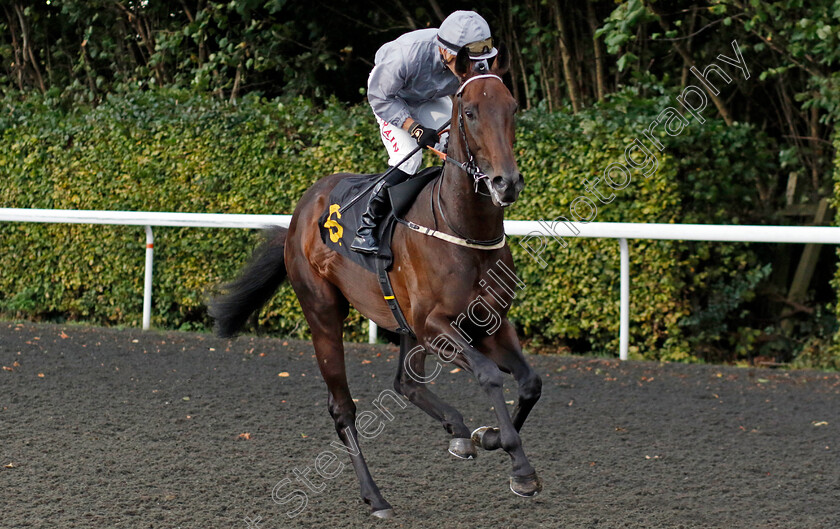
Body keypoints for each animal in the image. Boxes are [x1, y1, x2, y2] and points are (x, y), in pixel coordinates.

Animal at [208, 45, 540, 516]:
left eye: (512, 109)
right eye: (470, 112)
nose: (505, 183)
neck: (462, 228)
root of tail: (302, 209)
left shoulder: (489, 323)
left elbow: (529, 383)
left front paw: (488, 437)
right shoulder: (435, 327)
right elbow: (491, 376)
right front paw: (520, 467)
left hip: (403, 326)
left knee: (406, 382)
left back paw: (457, 431)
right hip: (323, 313)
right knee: (342, 407)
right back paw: (375, 495)